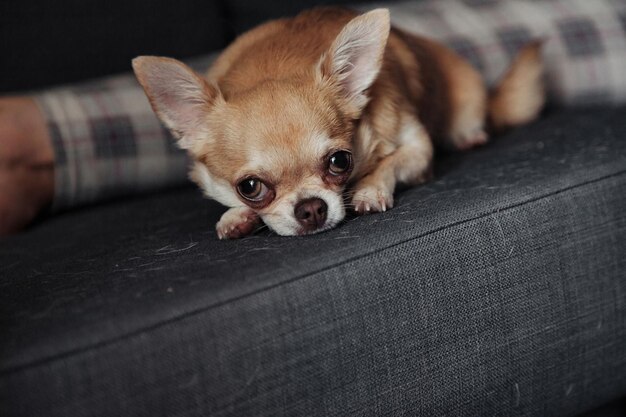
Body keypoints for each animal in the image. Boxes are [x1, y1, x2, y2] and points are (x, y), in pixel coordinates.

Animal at [132, 6, 540, 239]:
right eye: (249, 187)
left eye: (340, 161)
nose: (311, 208)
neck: (274, 65)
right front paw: (237, 215)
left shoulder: (418, 147)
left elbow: (392, 161)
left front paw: (370, 188)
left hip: (467, 97)